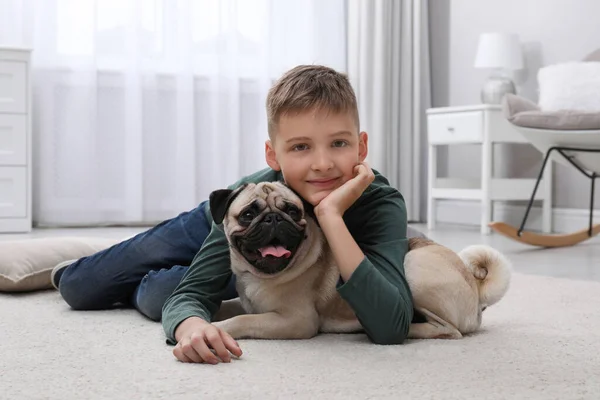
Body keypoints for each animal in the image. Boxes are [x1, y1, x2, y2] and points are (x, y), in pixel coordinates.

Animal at [210, 181, 510, 340]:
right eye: (248, 215)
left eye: (293, 212)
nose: (273, 219)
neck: (258, 275)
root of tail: (475, 285)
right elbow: (233, 308)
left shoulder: (296, 321)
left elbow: (242, 321)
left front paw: (218, 328)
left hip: (413, 269)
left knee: (448, 330)